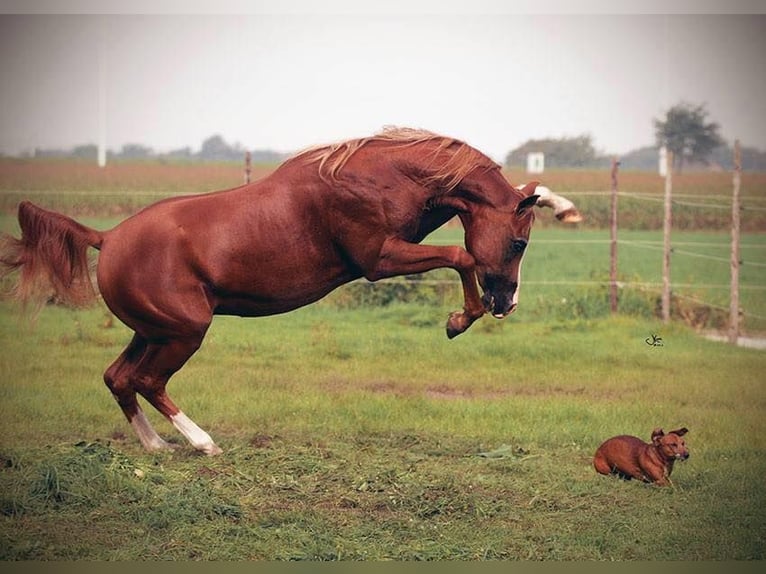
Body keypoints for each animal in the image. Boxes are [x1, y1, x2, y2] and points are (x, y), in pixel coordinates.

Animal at [0, 127, 581, 455]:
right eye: (519, 243)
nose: (506, 304)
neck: (376, 176)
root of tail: (107, 236)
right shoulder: (378, 258)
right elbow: (461, 256)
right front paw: (458, 321)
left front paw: (562, 204)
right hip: (184, 331)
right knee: (145, 381)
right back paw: (203, 444)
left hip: (153, 330)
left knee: (118, 378)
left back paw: (157, 446)